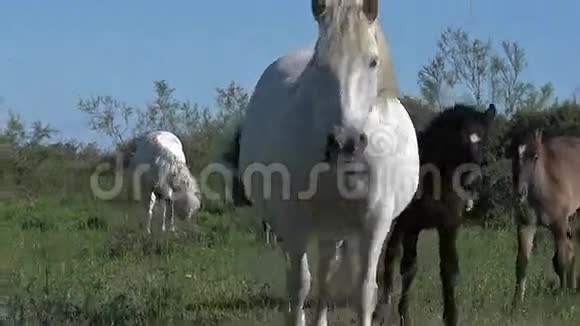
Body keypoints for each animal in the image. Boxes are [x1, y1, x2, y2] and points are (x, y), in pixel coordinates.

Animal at [229, 1, 420, 324]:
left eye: (373, 62)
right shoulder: (293, 221)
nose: (346, 142)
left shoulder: (375, 223)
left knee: (327, 275)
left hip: (335, 230)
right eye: (320, 63)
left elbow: (363, 291)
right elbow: (299, 287)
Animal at [376, 102, 498, 326]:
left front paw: (451, 318)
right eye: (461, 139)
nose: (473, 182)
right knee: (390, 254)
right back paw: (381, 305)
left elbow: (449, 270)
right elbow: (409, 267)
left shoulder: (449, 227)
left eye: (485, 140)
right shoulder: (411, 225)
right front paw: (404, 316)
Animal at [510, 129, 576, 310]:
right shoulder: (526, 225)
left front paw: (562, 298)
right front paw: (516, 305)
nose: (520, 193)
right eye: (514, 155)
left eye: (536, 156)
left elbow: (561, 261)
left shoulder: (559, 225)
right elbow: (521, 263)